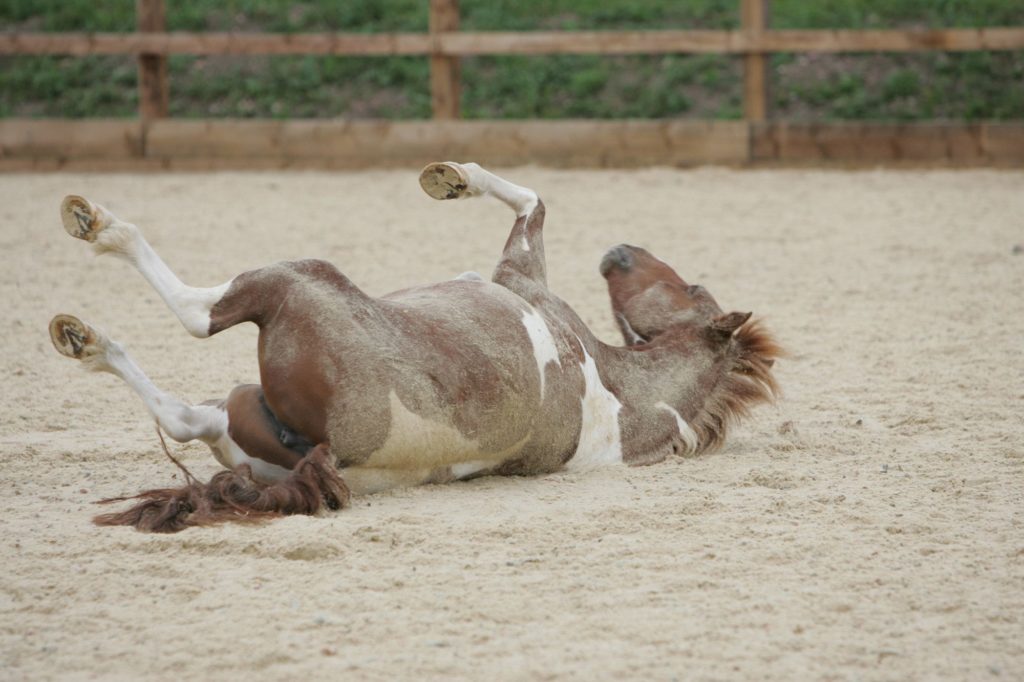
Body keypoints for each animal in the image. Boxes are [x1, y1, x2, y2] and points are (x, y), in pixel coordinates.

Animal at [49, 162, 781, 532]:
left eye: (693, 285)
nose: (620, 250)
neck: (618, 398)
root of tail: (323, 453)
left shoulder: (518, 274)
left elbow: (532, 199)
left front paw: (448, 175)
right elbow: (532, 198)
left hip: (295, 282)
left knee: (196, 318)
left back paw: (91, 256)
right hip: (237, 412)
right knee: (182, 417)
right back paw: (88, 339)